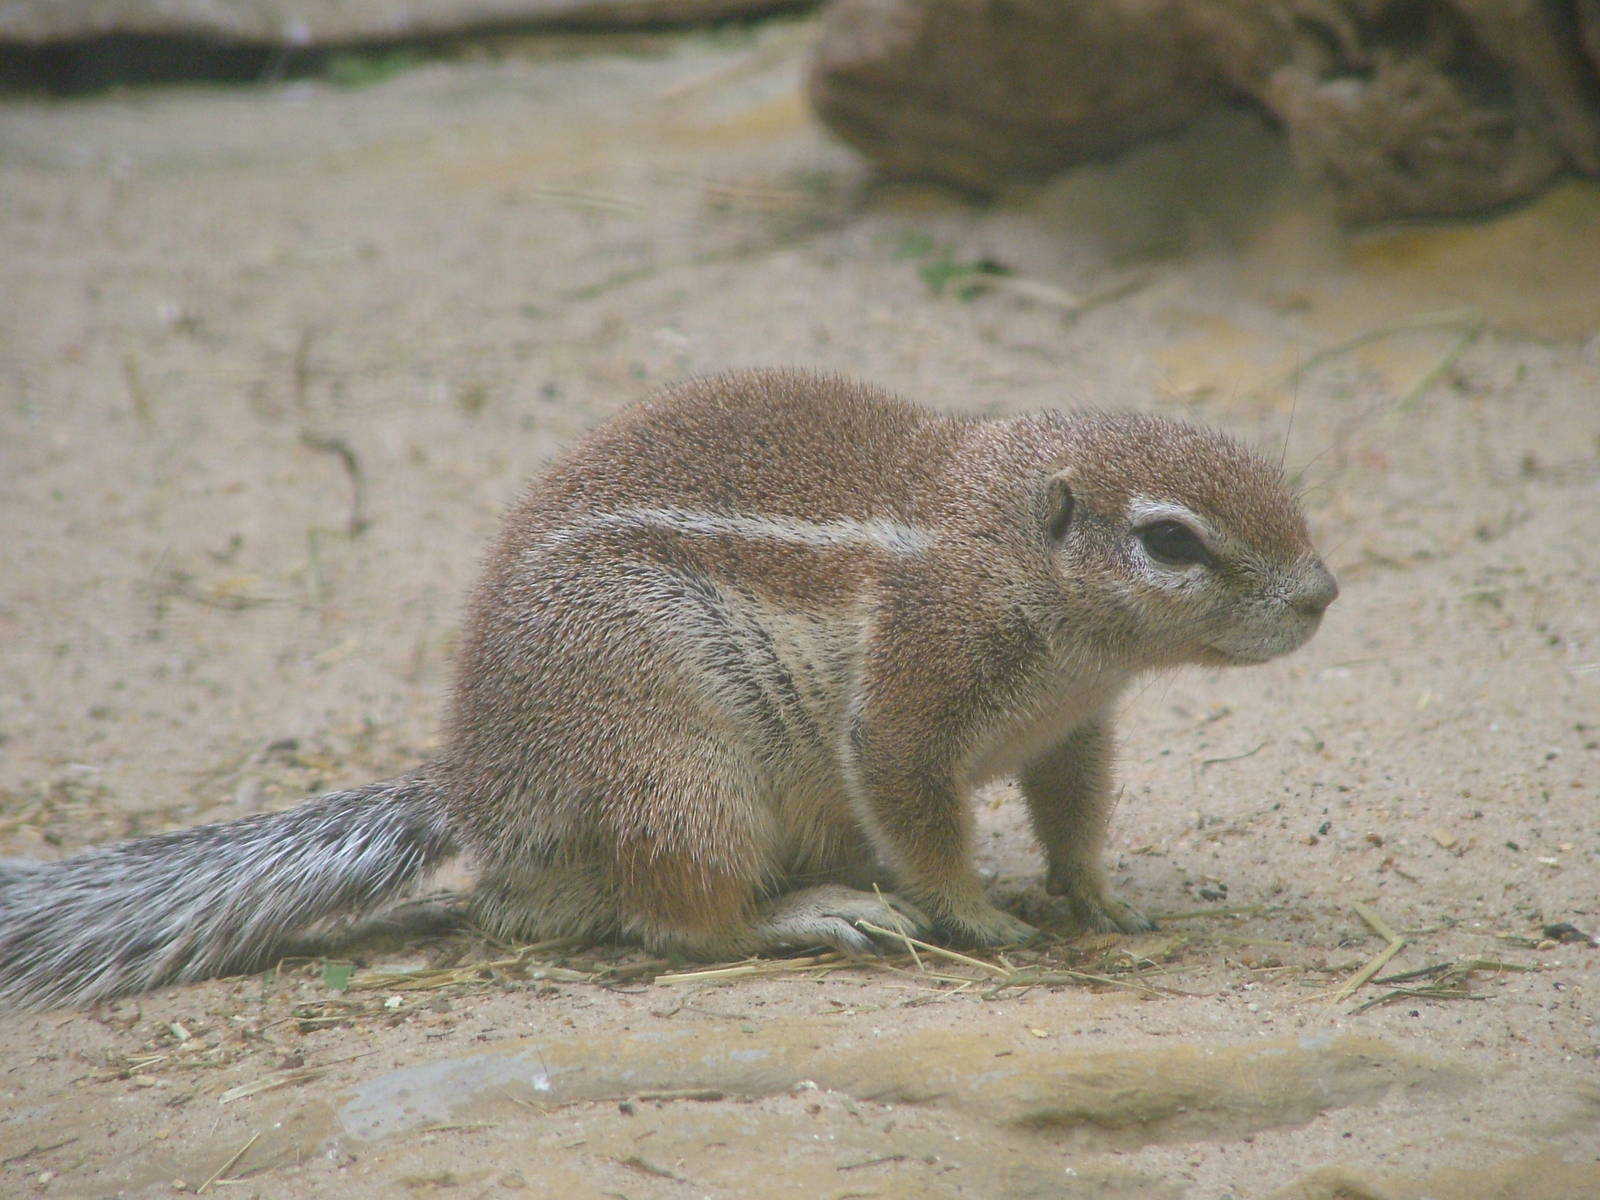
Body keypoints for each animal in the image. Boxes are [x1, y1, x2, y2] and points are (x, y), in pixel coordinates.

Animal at [0, 369, 1336, 1009]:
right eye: (1169, 541)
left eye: (1277, 476)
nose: (1323, 593)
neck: (996, 545)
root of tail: (479, 786)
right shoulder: (912, 694)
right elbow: (917, 810)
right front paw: (981, 916)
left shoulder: (1075, 728)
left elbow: (1073, 813)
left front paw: (1094, 896)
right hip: (670, 766)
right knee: (681, 918)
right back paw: (814, 915)